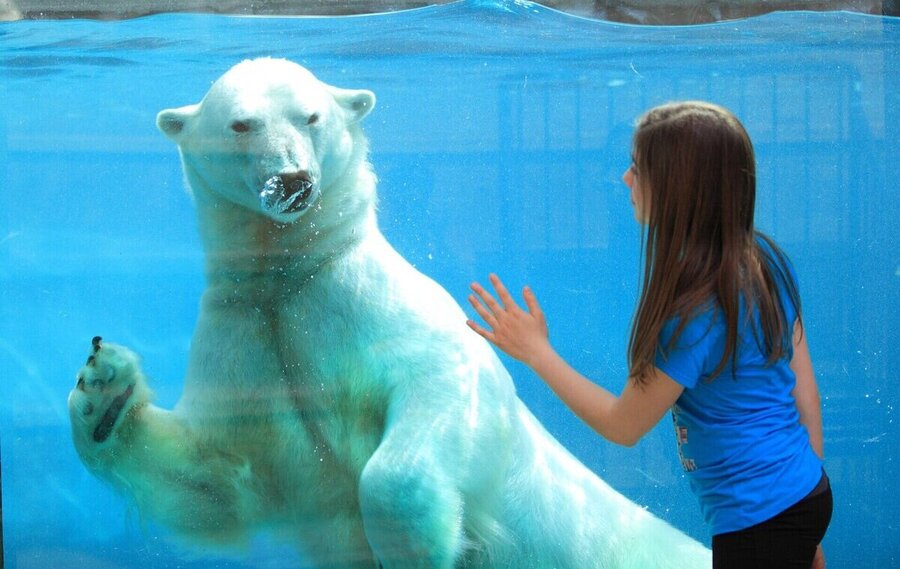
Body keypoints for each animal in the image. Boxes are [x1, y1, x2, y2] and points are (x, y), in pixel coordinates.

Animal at [67, 58, 711, 568]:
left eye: (311, 117)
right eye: (241, 123)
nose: (293, 180)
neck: (291, 272)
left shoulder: (373, 310)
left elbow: (428, 402)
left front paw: (420, 545)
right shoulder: (248, 333)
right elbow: (218, 480)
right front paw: (103, 391)